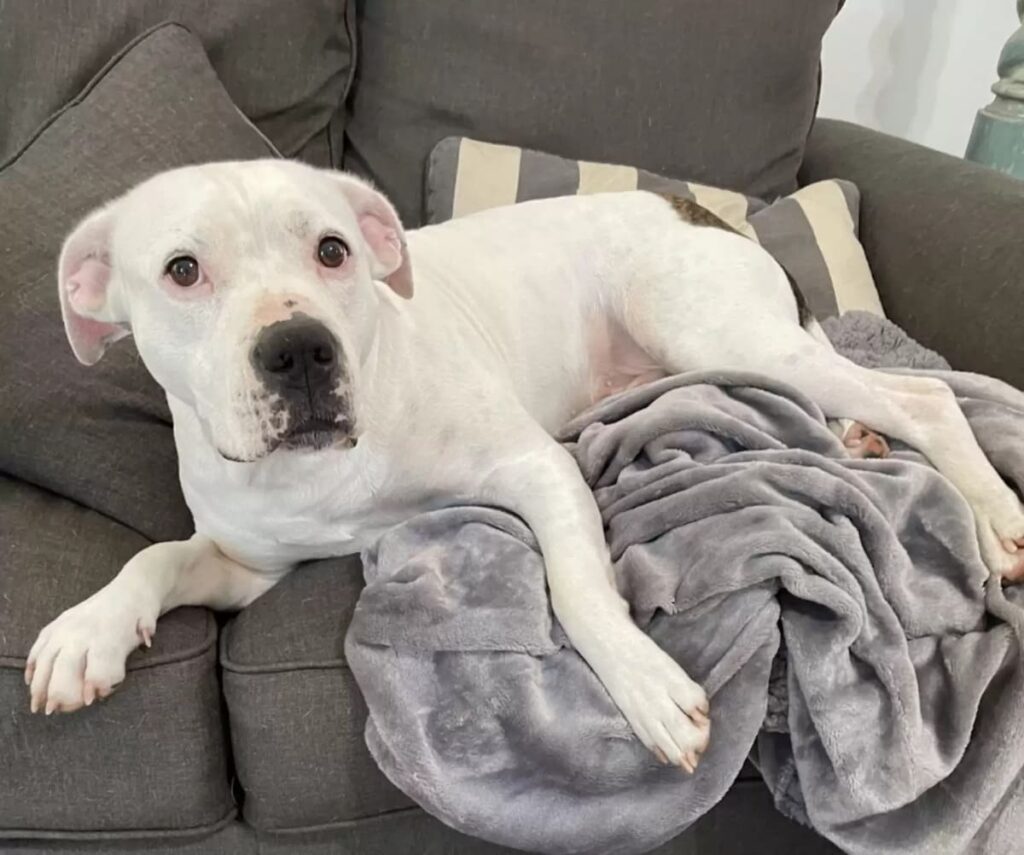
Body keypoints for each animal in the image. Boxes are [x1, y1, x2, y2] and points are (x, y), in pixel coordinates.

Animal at [24, 161, 1024, 774]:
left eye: (333, 250)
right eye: (182, 270)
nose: (300, 347)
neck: (324, 472)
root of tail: (695, 206)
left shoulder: (535, 469)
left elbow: (578, 588)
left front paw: (645, 684)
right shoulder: (247, 566)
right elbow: (156, 557)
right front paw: (88, 630)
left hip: (713, 329)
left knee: (927, 398)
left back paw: (993, 514)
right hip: (723, 356)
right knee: (858, 392)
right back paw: (856, 440)